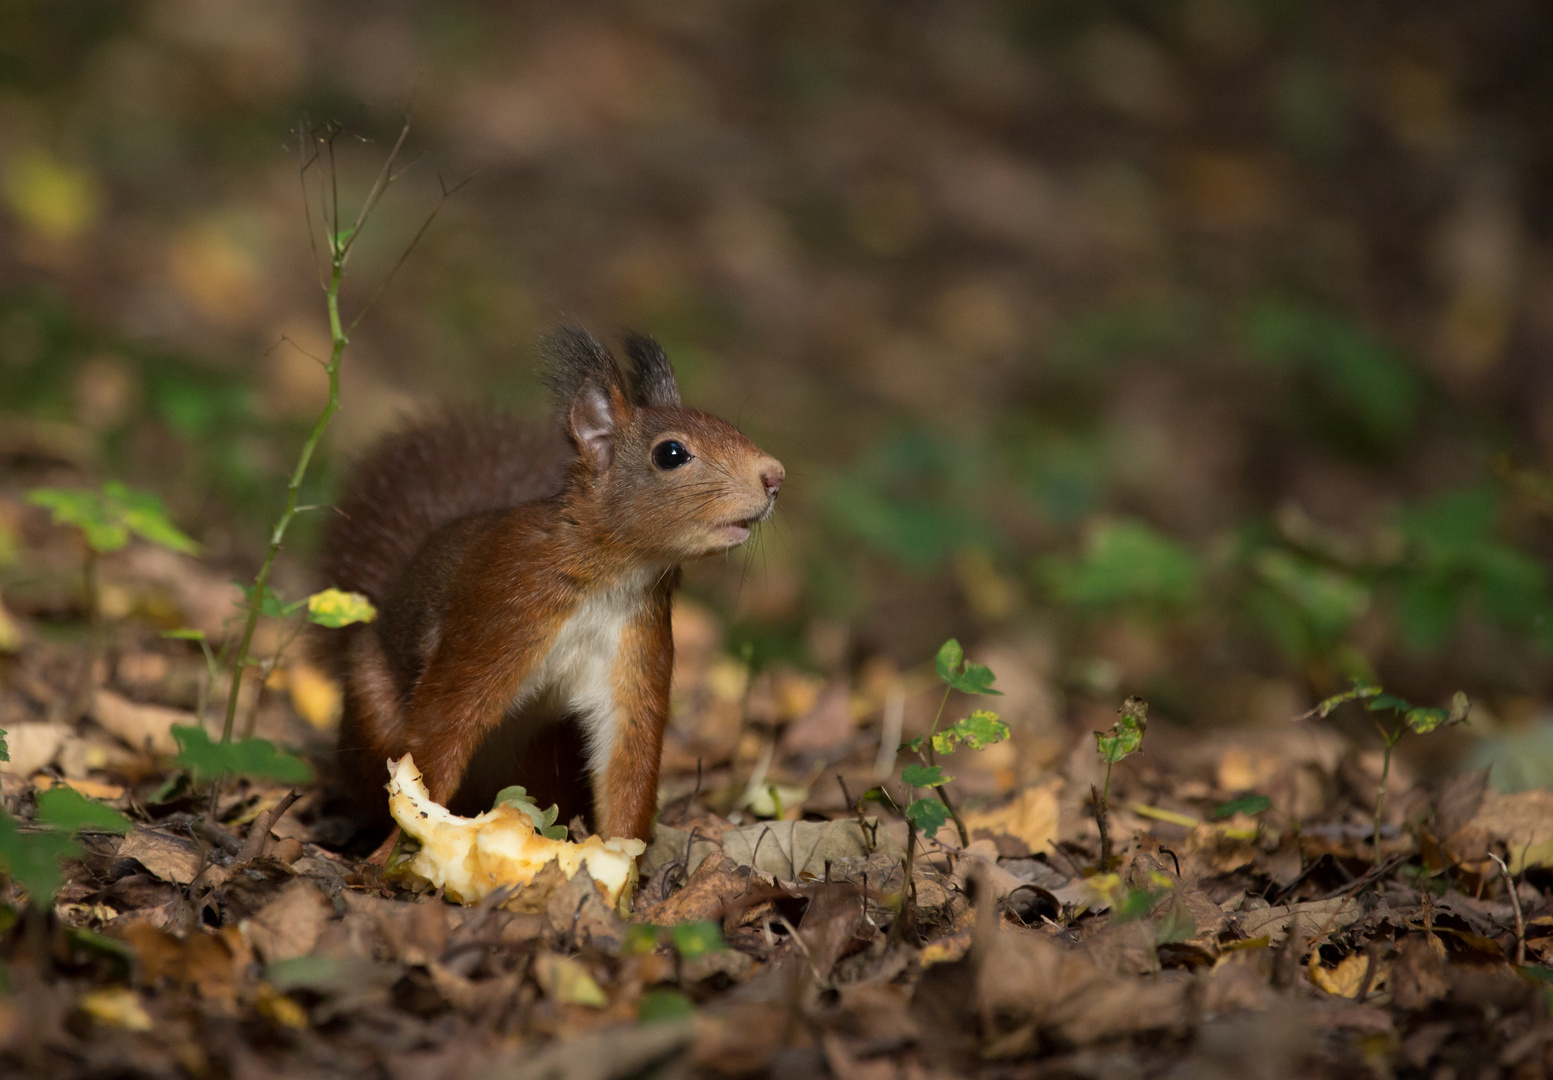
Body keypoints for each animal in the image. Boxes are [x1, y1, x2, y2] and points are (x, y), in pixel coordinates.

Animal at [313, 329, 782, 845]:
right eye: (671, 454)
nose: (774, 476)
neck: (610, 580)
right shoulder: (500, 612)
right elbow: (442, 730)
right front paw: (406, 841)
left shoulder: (637, 645)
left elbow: (629, 758)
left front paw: (620, 855)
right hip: (373, 711)